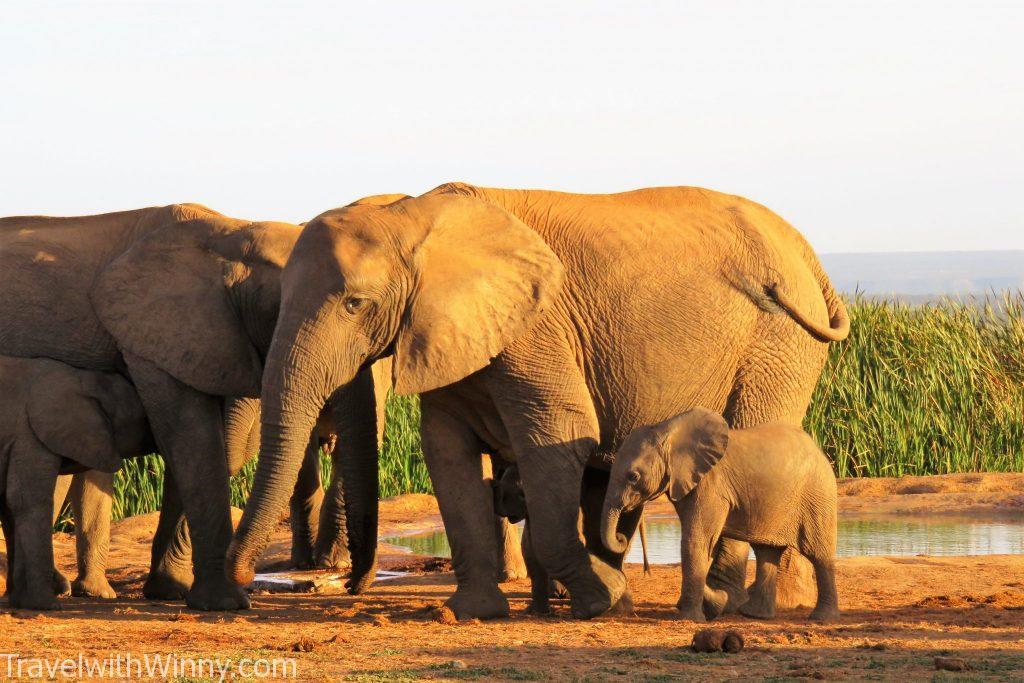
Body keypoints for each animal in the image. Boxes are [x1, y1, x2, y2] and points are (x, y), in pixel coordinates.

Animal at [602, 409, 835, 622]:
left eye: (633, 477)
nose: (621, 537)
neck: (666, 429)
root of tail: (819, 451)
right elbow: (706, 545)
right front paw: (715, 604)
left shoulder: (710, 486)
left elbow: (697, 541)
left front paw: (692, 618)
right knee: (767, 552)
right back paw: (754, 615)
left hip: (816, 495)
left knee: (818, 553)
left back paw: (821, 619)